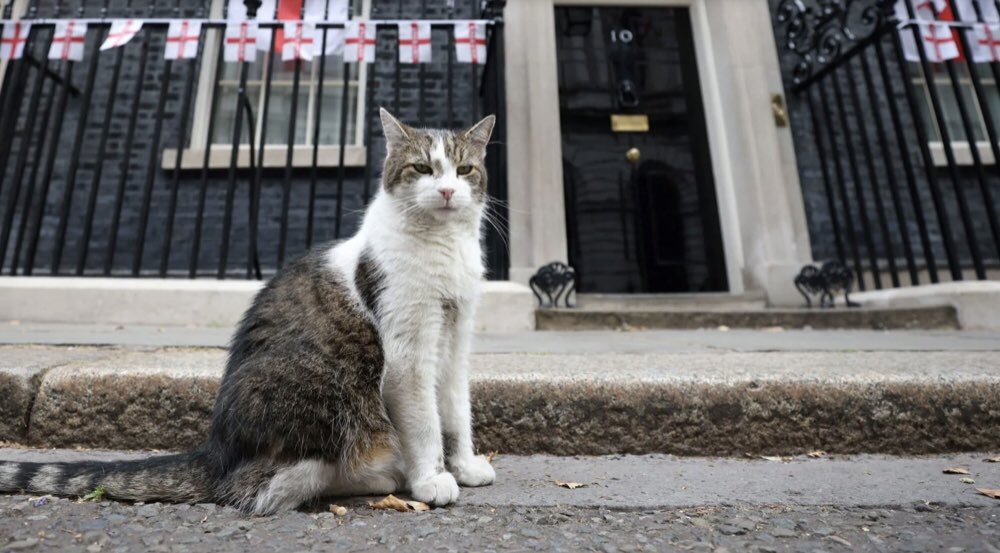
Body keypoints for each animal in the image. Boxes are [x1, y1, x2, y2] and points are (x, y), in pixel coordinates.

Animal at [0, 108, 498, 512]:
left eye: (464, 169)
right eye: (422, 168)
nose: (448, 190)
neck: (444, 248)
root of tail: (216, 450)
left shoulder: (456, 338)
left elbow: (456, 410)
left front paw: (465, 466)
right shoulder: (408, 350)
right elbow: (425, 422)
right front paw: (431, 479)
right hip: (323, 389)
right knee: (259, 486)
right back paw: (376, 475)